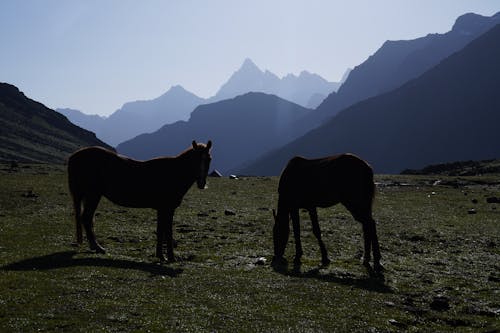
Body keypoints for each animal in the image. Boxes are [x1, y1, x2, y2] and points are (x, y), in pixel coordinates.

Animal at [67, 139, 212, 260]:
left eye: (209, 159)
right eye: (195, 159)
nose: (201, 183)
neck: (173, 173)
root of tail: (75, 156)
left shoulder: (162, 209)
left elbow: (161, 230)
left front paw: (160, 256)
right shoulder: (167, 209)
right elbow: (167, 231)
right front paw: (170, 257)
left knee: (88, 219)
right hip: (93, 195)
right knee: (86, 218)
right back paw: (97, 247)